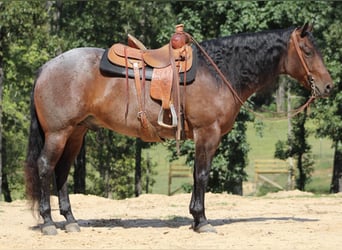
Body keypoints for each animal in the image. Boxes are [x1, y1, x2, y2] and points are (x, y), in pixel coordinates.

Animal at [25, 23, 332, 234]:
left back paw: (71, 221)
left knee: (61, 171)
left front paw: (195, 218)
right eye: (307, 51)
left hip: (76, 133)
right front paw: (202, 221)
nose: (329, 86)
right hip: (58, 133)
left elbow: (197, 174)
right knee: (45, 167)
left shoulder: (204, 136)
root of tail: (46, 67)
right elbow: (202, 175)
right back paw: (48, 222)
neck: (218, 71)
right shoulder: (207, 133)